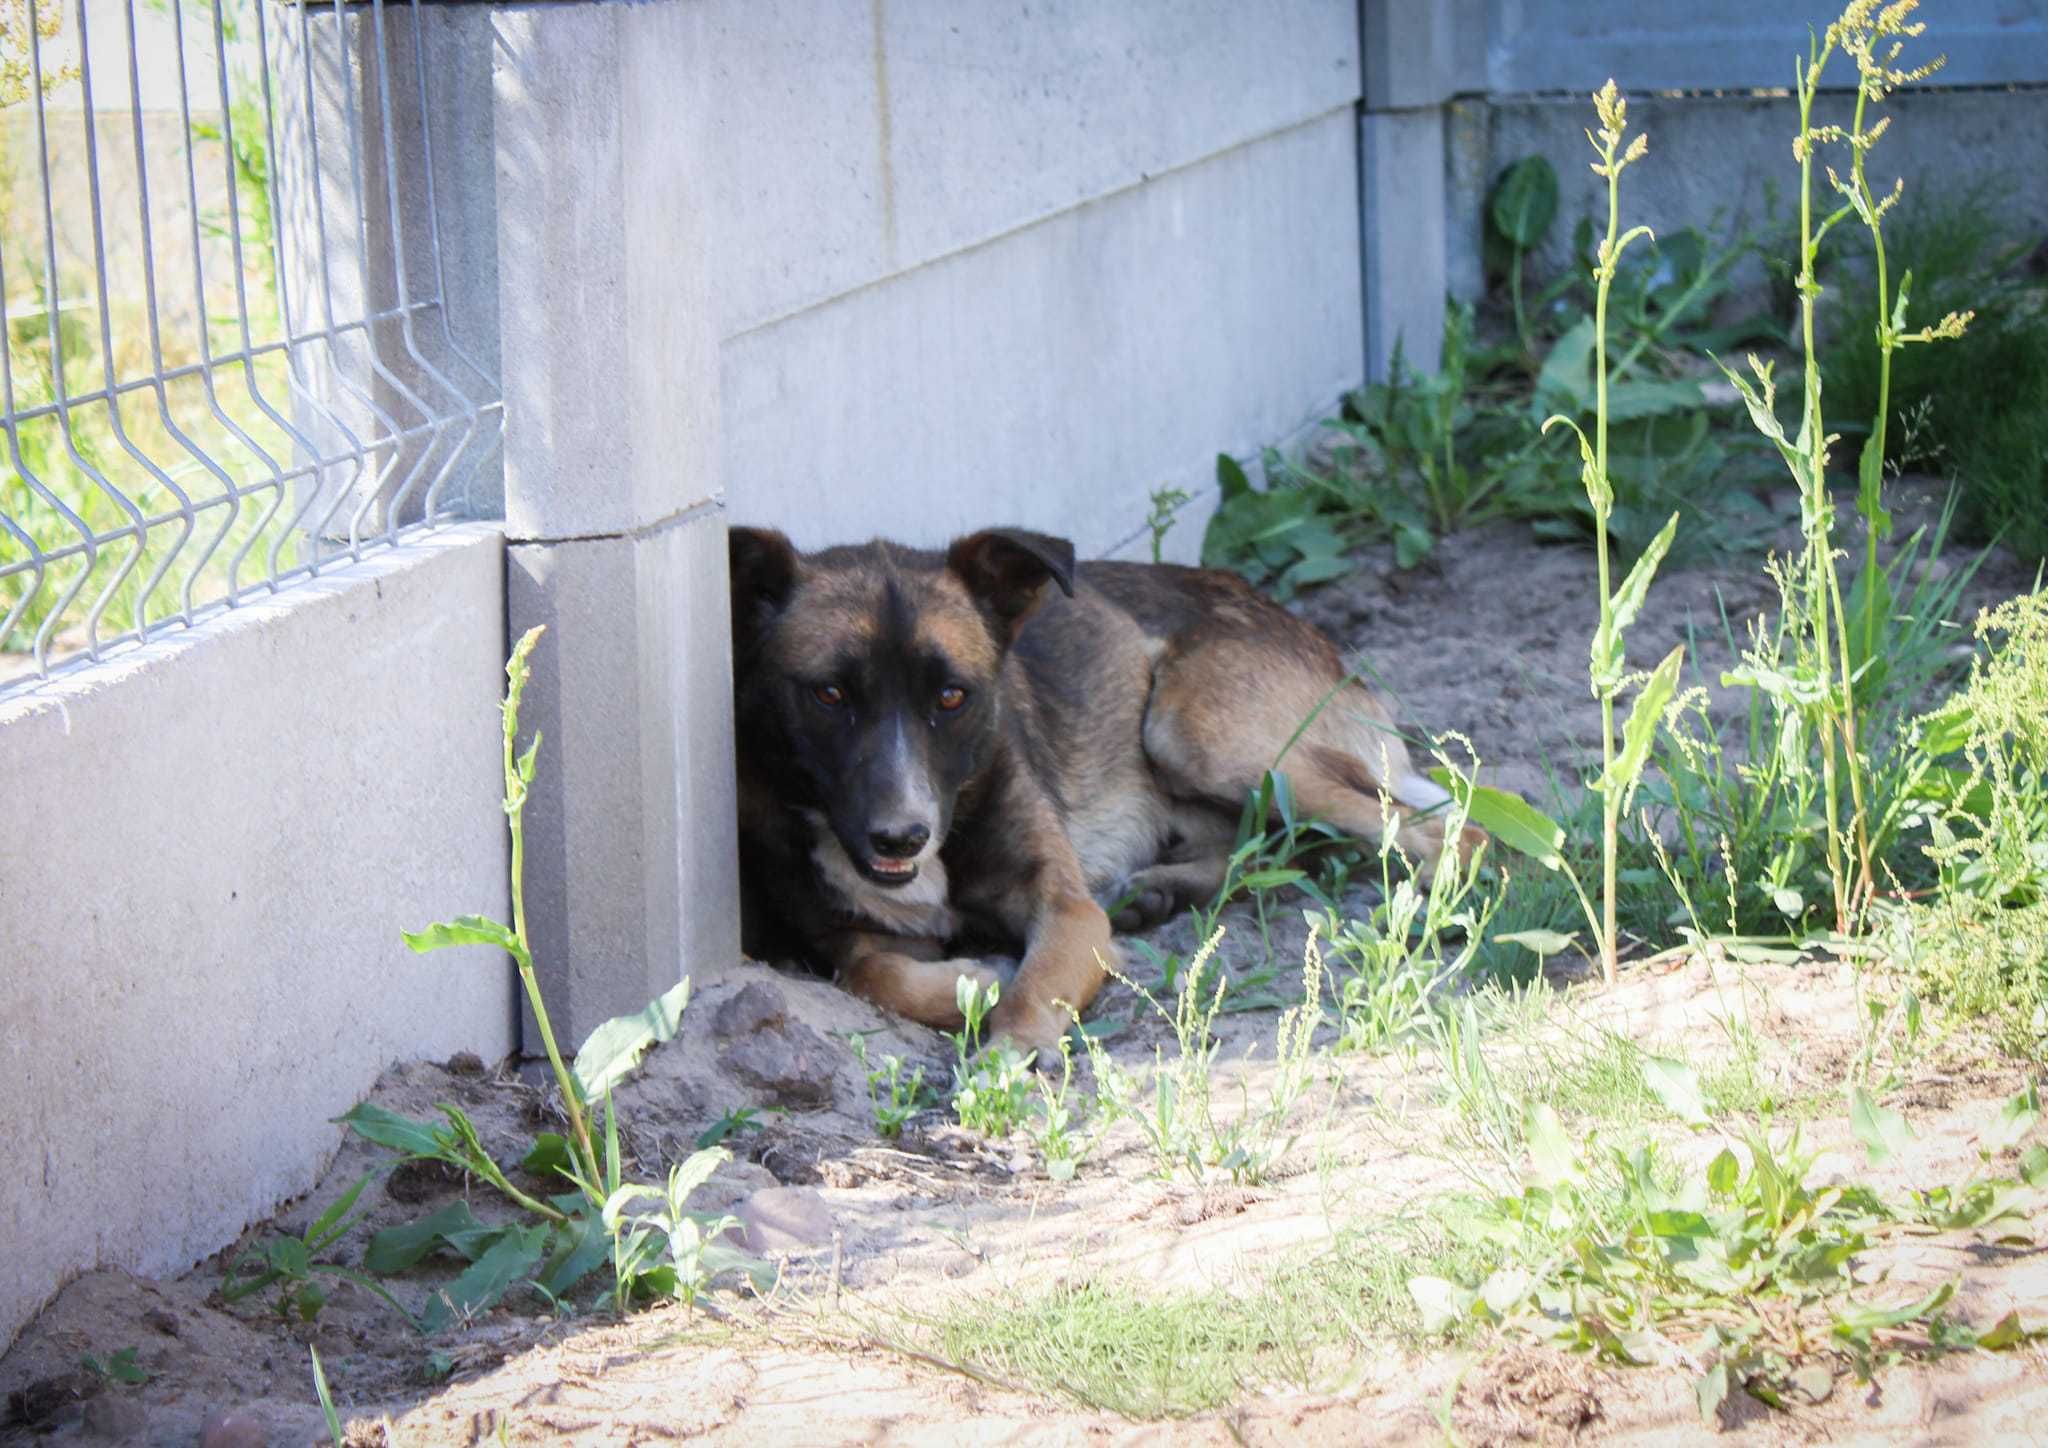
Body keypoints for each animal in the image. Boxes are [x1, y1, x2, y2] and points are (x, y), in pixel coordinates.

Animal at [729, 528, 1482, 1056]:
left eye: (951, 696)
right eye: (829, 694)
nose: (901, 836)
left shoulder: (1067, 912)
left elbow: (1036, 984)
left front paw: (1009, 1041)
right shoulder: (844, 936)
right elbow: (873, 975)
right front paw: (979, 981)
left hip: (1201, 736)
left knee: (1443, 833)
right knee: (1279, 844)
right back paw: (1153, 892)